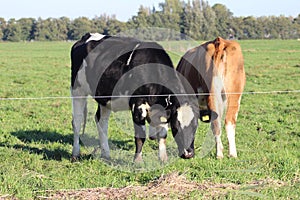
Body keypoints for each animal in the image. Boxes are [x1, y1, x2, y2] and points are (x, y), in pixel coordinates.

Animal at [71, 32, 200, 161]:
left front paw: (163, 159)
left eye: (195, 126)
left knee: (101, 121)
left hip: (104, 98)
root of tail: (86, 36)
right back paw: (75, 154)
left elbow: (162, 135)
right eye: (176, 126)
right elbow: (140, 136)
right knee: (77, 122)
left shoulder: (163, 111)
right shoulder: (137, 105)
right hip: (77, 90)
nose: (189, 153)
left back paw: (106, 155)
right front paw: (138, 161)